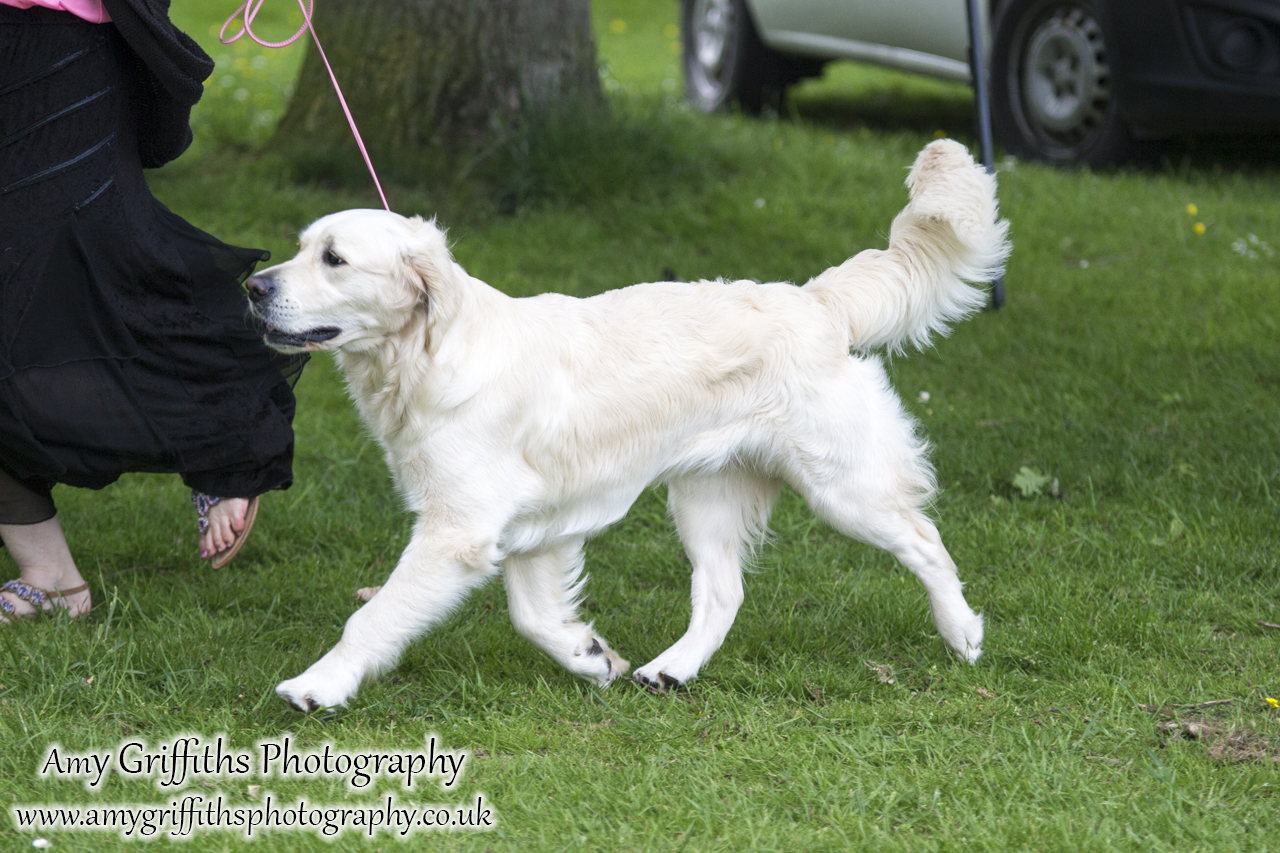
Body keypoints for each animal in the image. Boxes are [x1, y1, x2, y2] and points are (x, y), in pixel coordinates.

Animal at [249, 140, 1008, 712]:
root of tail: (814, 299)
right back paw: (671, 667)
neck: (429, 355)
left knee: (925, 542)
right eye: (300, 247)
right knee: (724, 592)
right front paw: (591, 657)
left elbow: (374, 613)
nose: (253, 286)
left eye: (335, 259)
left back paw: (964, 633)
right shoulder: (532, 527)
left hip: (843, 485)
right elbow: (533, 616)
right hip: (704, 496)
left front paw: (318, 684)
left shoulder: (457, 529)